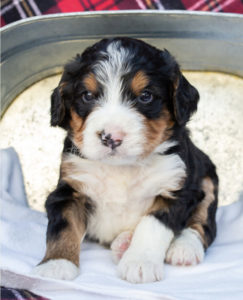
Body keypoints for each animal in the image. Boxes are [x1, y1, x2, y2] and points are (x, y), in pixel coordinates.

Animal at [34, 37, 218, 284]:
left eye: (146, 96)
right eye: (87, 96)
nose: (111, 137)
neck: (121, 168)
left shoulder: (177, 189)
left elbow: (152, 226)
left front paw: (140, 263)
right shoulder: (70, 189)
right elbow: (64, 227)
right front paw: (56, 265)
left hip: (207, 180)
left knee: (203, 223)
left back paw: (184, 248)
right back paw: (123, 244)